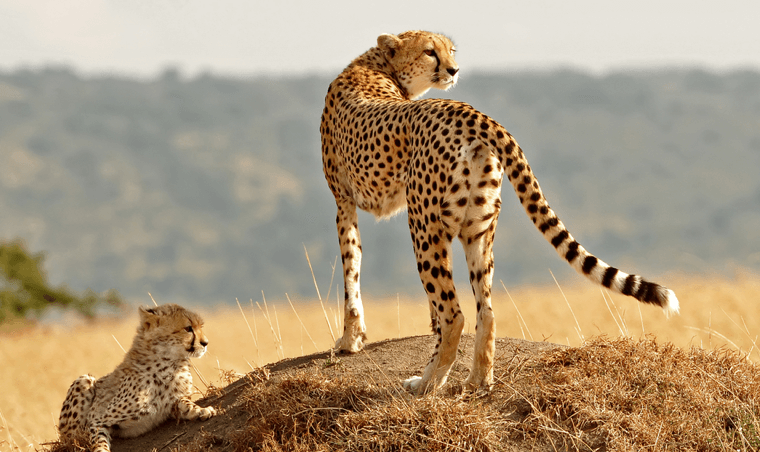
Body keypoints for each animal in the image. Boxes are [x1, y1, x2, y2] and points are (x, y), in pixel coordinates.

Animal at [318, 30, 680, 394]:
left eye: (450, 51)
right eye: (430, 52)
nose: (454, 70)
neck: (377, 66)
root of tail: (466, 110)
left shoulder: (343, 202)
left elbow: (351, 268)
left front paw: (349, 340)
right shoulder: (352, 201)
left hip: (424, 225)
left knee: (455, 314)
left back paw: (427, 382)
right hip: (477, 227)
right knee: (486, 311)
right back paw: (478, 379)